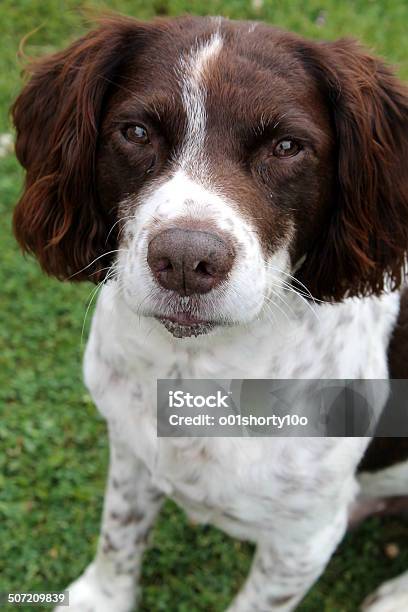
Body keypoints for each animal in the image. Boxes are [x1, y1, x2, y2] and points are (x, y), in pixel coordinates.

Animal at [11, 14, 408, 612]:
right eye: (136, 132)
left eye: (287, 146)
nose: (184, 261)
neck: (195, 366)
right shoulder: (129, 445)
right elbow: (119, 531)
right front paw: (101, 597)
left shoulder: (303, 540)